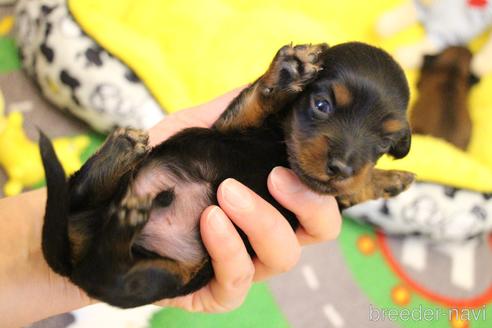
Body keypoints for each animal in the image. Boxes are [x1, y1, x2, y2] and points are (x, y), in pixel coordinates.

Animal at [39, 41, 416, 308]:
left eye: (383, 143)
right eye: (321, 105)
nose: (342, 168)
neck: (282, 150)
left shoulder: (335, 194)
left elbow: (352, 190)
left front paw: (389, 179)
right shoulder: (229, 127)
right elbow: (253, 100)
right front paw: (287, 72)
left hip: (165, 272)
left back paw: (122, 167)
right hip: (145, 276)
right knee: (100, 263)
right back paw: (122, 170)